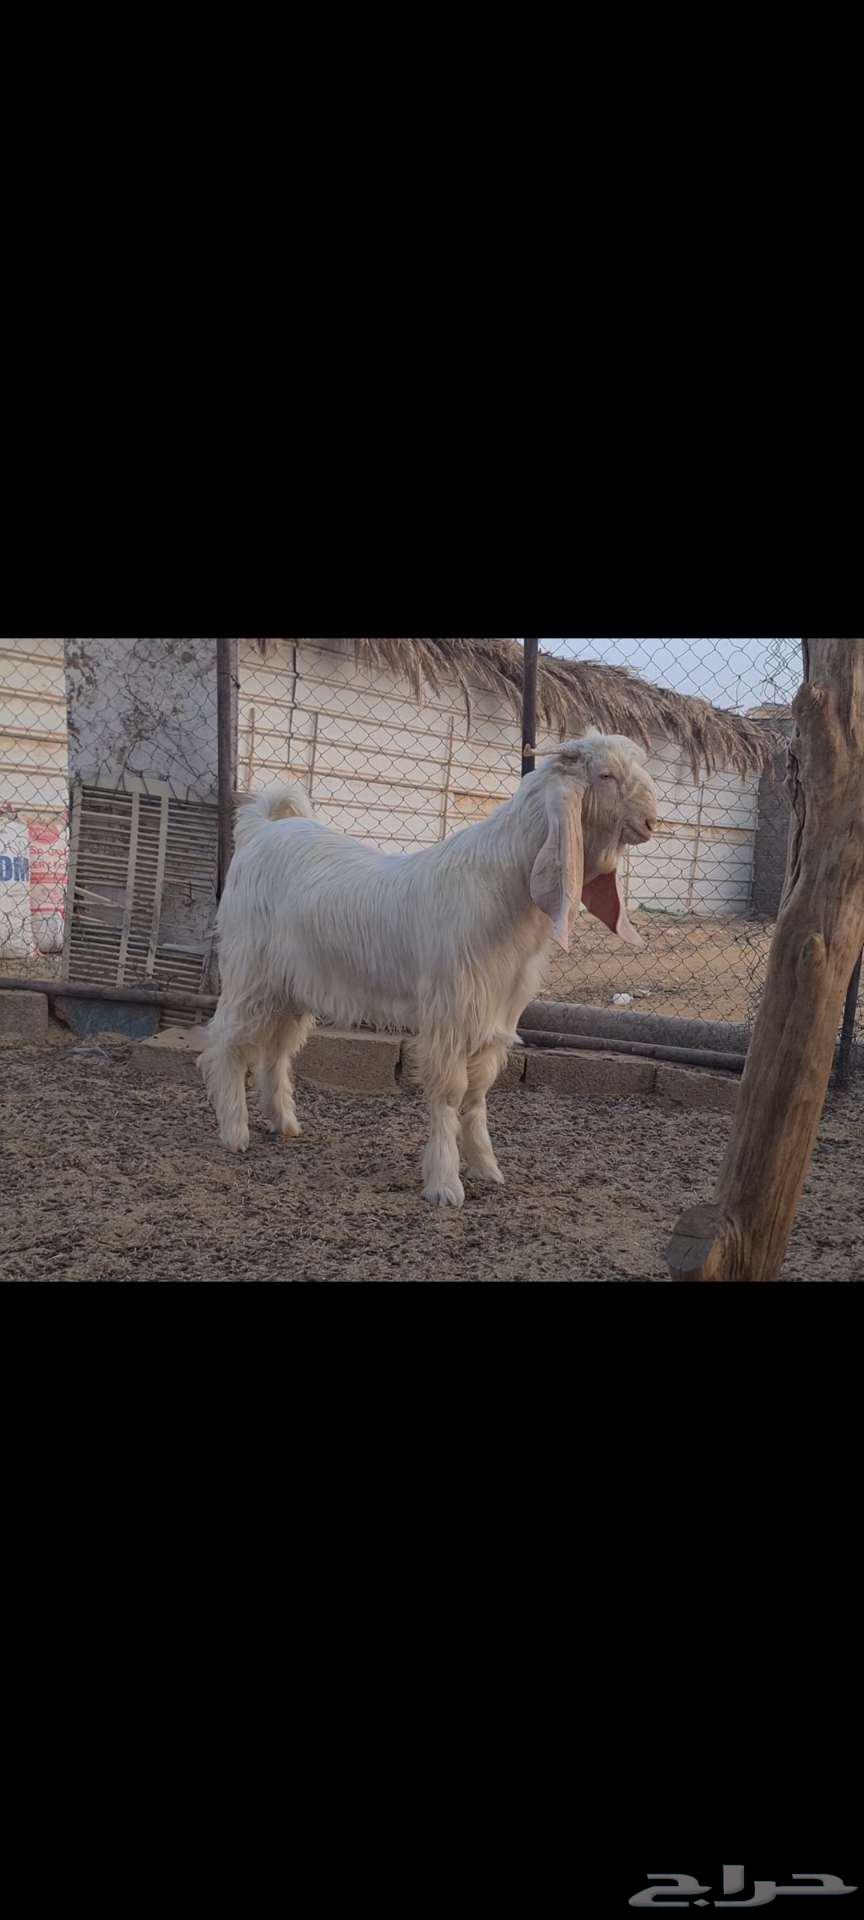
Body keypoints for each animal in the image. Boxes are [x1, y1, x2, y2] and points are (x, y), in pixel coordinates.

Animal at [198, 732, 659, 1207]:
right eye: (605, 775)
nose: (652, 822)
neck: (504, 888)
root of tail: (263, 829)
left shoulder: (496, 1012)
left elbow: (478, 1092)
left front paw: (485, 1167)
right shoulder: (450, 1010)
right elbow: (450, 1091)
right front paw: (444, 1184)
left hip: (292, 985)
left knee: (277, 1050)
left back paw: (284, 1123)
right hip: (249, 972)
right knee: (228, 1039)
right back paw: (234, 1131)